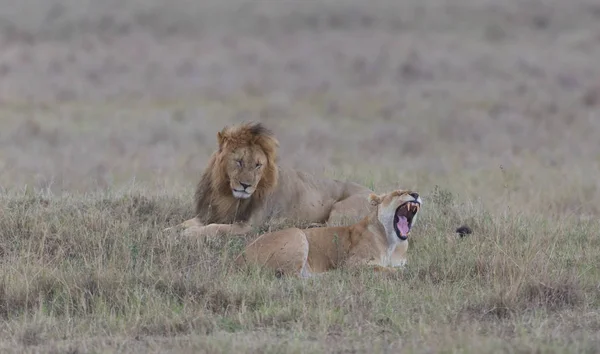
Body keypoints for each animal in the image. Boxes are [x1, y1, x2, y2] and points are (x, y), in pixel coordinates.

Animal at [170, 121, 376, 238]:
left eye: (258, 165)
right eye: (239, 161)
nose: (245, 186)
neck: (226, 194)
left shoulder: (249, 226)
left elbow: (215, 228)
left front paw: (189, 234)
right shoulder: (208, 214)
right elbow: (186, 223)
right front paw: (171, 231)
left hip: (341, 209)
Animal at [234, 189, 422, 278]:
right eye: (399, 193)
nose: (416, 194)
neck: (392, 241)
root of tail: (237, 259)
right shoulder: (352, 264)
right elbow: (383, 268)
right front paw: (404, 273)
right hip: (297, 234)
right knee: (291, 278)